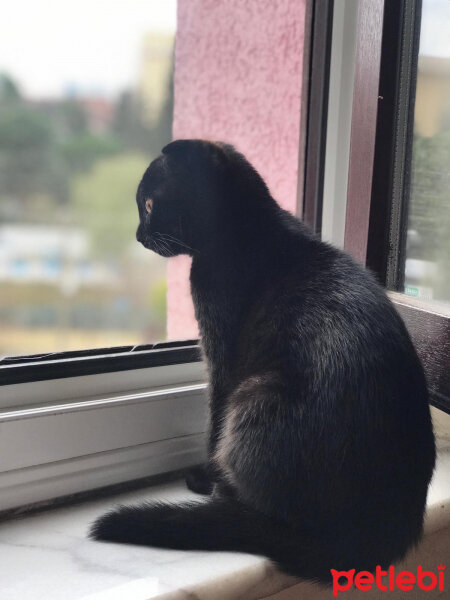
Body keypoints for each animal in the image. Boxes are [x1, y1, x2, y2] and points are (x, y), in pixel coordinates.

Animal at [89, 139, 434, 580]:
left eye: (149, 204)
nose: (137, 234)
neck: (246, 228)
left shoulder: (221, 354)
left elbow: (213, 421)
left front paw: (208, 474)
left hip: (255, 395)